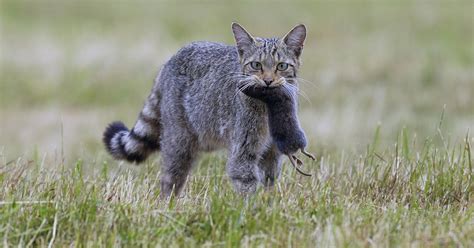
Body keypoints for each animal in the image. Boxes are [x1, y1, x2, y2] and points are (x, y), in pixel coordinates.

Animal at [103, 23, 308, 198]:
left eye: (281, 66)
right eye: (256, 65)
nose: (268, 81)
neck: (268, 106)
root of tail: (169, 61)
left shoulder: (272, 153)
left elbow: (269, 181)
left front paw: (268, 203)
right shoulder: (243, 149)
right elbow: (246, 181)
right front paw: (251, 210)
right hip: (179, 142)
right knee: (170, 181)